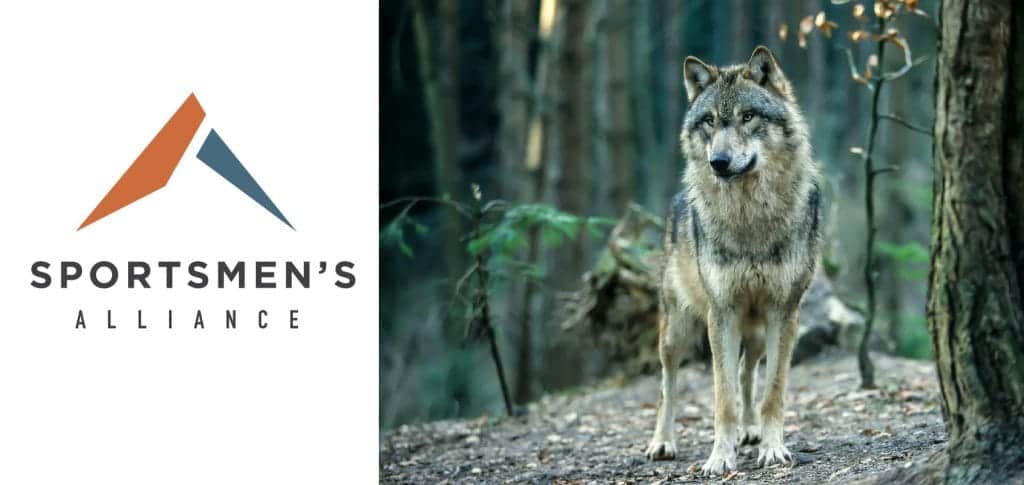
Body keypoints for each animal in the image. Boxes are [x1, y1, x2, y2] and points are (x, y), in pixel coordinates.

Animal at [643, 46, 821, 476]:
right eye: (709, 120)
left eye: (748, 116)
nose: (718, 162)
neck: (750, 217)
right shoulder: (721, 313)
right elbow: (721, 399)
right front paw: (719, 458)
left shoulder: (783, 312)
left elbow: (772, 391)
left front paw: (772, 448)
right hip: (677, 331)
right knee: (667, 385)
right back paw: (662, 442)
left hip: (754, 330)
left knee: (746, 373)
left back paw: (750, 430)